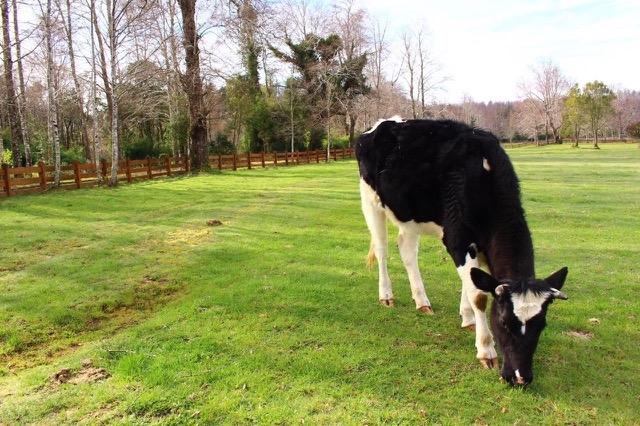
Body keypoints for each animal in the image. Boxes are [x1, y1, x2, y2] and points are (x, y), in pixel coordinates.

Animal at [356, 117, 568, 386]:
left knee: (407, 249)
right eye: (503, 323)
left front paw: (467, 318)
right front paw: (486, 350)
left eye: (542, 325)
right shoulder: (458, 240)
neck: (483, 172)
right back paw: (386, 296)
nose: (520, 378)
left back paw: (422, 301)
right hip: (371, 202)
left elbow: (473, 284)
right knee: (382, 249)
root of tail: (384, 123)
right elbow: (479, 295)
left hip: (410, 213)